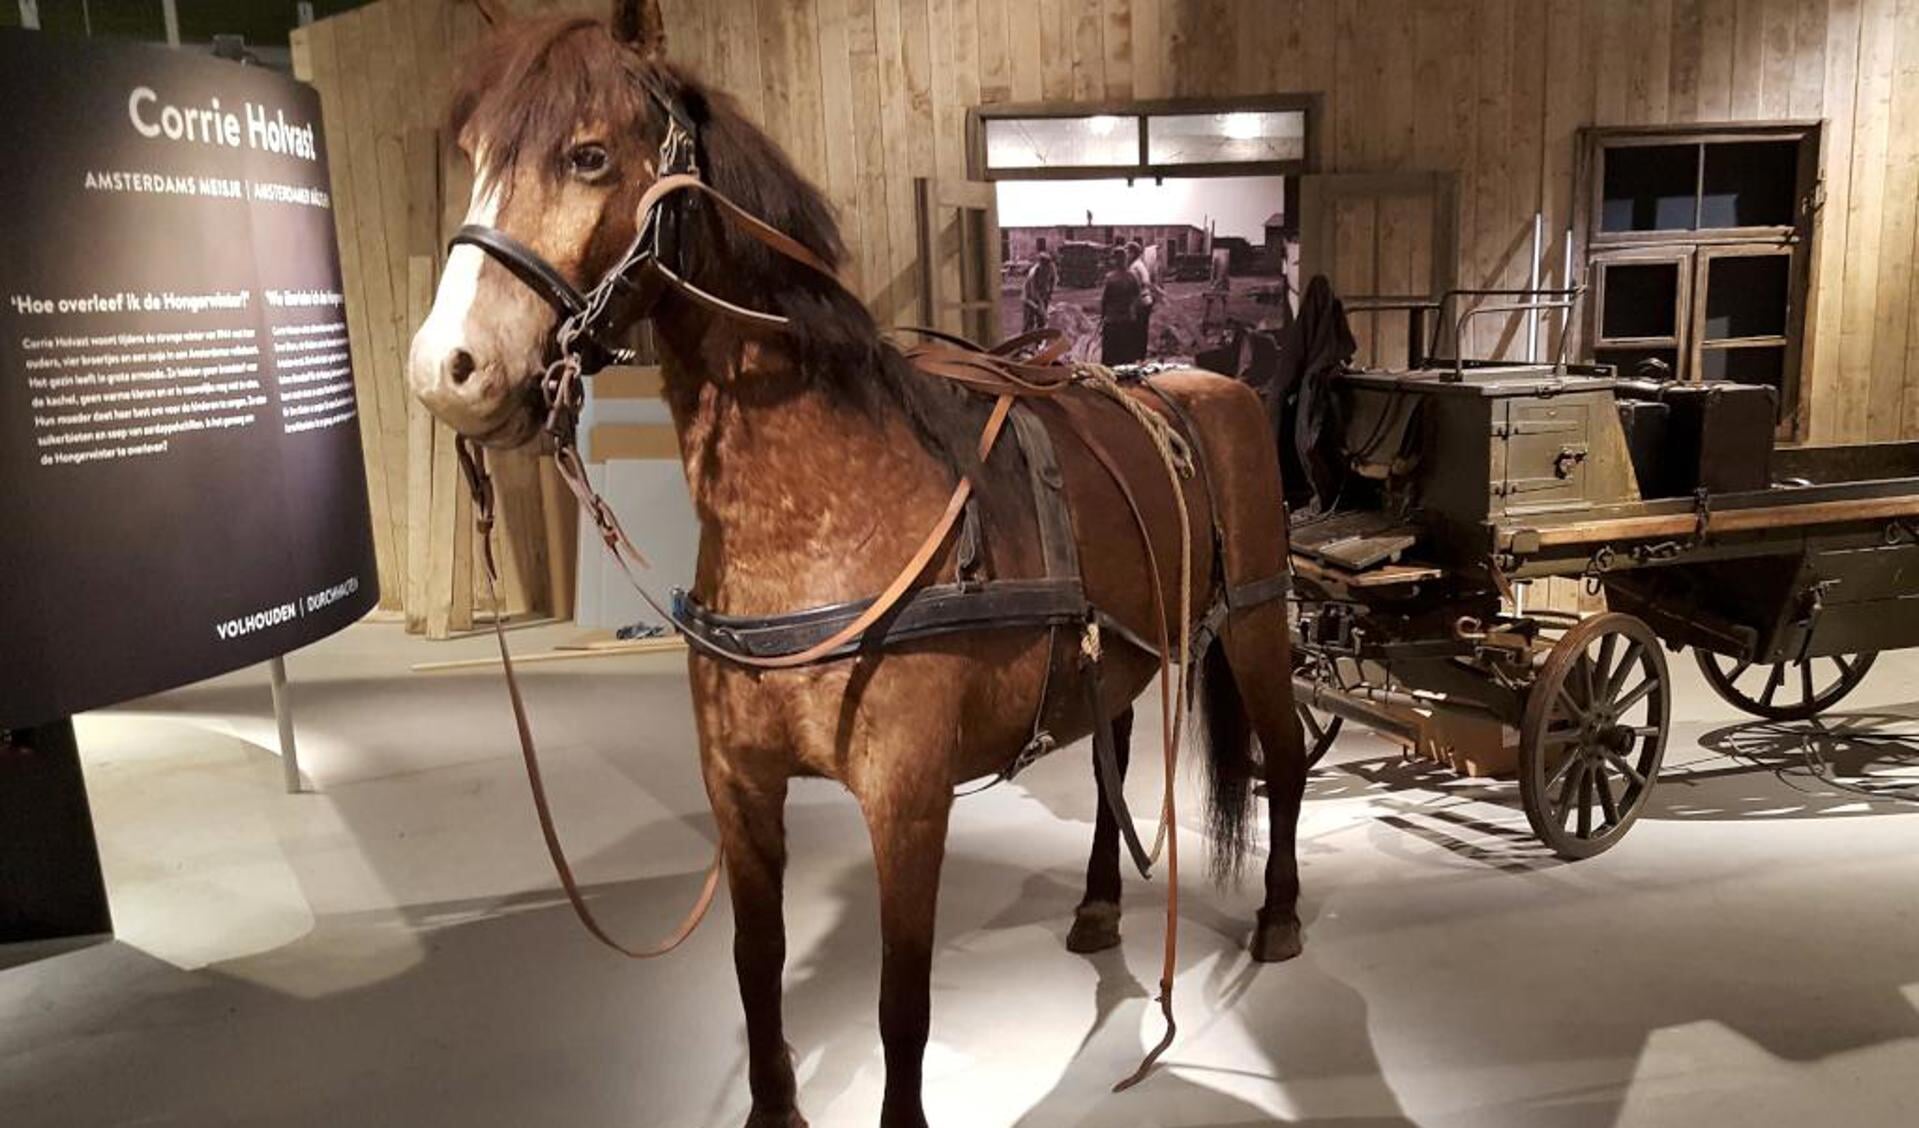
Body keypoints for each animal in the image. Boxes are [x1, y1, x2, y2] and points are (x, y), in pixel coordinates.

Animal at [404, 4, 1304, 1120]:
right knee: (1109, 771)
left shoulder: (905, 797)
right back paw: (1099, 903)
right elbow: (755, 969)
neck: (816, 519)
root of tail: (1211, 383)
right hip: (1116, 658)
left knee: (1284, 759)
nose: (448, 370)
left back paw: (1277, 916)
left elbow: (899, 1005)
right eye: (474, 154)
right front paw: (773, 1103)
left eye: (587, 155)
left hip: (1257, 628)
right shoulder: (738, 789)